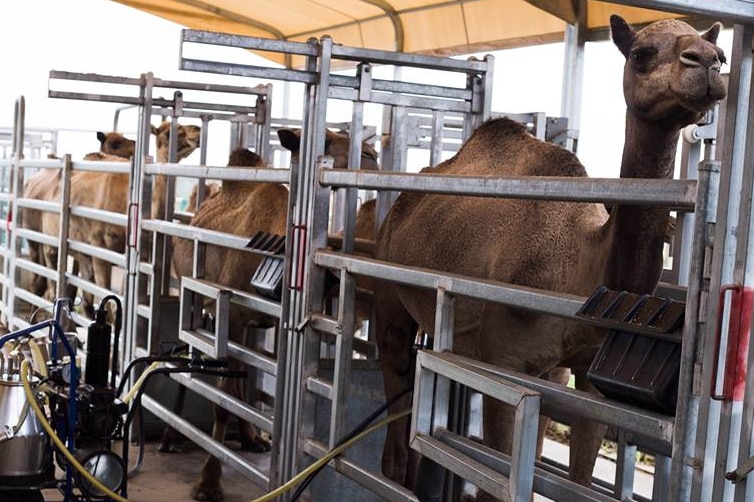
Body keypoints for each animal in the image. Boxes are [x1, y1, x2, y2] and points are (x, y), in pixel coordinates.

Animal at [170, 129, 376, 502]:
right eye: (327, 139)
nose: (371, 153)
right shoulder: (235, 316)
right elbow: (222, 400)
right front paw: (208, 483)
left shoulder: (274, 324)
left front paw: (255, 439)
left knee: (245, 378)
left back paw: (253, 437)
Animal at [374, 15, 724, 498]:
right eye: (641, 52)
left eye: (720, 51)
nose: (707, 62)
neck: (578, 271)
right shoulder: (504, 365)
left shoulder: (583, 378)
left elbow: (577, 473)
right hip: (390, 295)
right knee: (396, 382)